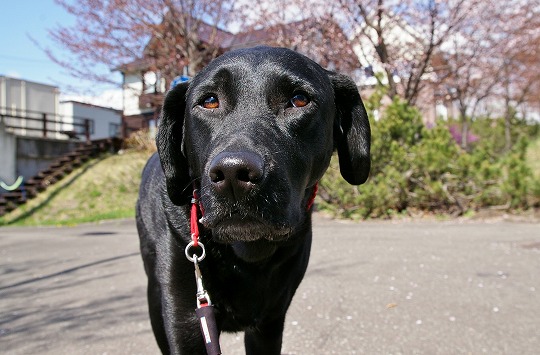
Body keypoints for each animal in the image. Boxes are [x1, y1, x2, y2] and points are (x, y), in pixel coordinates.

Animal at [136, 46, 372, 354]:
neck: (247, 253)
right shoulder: (185, 321)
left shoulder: (270, 323)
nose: (233, 174)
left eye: (299, 99)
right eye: (209, 101)